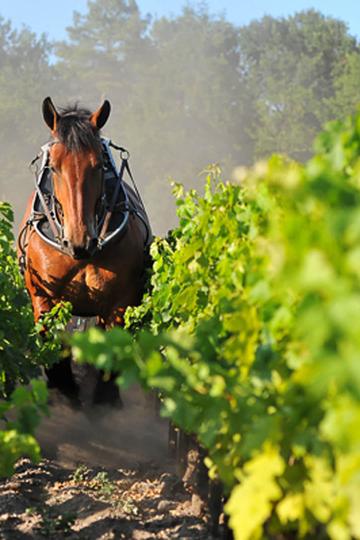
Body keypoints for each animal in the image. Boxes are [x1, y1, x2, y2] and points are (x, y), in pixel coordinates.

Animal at [17, 98, 150, 404]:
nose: (80, 241)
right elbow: (55, 354)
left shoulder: (119, 303)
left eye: (98, 165)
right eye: (53, 167)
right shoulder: (43, 298)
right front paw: (64, 389)